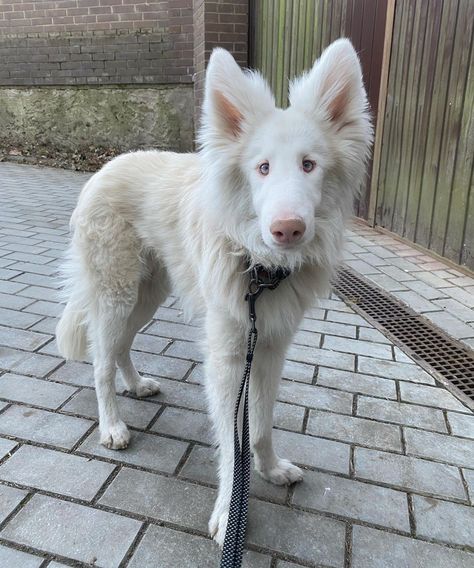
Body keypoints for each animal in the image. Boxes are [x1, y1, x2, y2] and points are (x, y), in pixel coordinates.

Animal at [56, 40, 370, 544]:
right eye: (262, 168)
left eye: (309, 165)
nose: (287, 229)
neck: (259, 266)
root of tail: (104, 168)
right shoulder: (226, 359)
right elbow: (230, 441)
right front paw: (229, 511)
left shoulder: (268, 349)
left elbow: (259, 425)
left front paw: (270, 469)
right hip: (116, 295)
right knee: (101, 360)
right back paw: (113, 426)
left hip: (149, 293)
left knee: (121, 346)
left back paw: (137, 385)